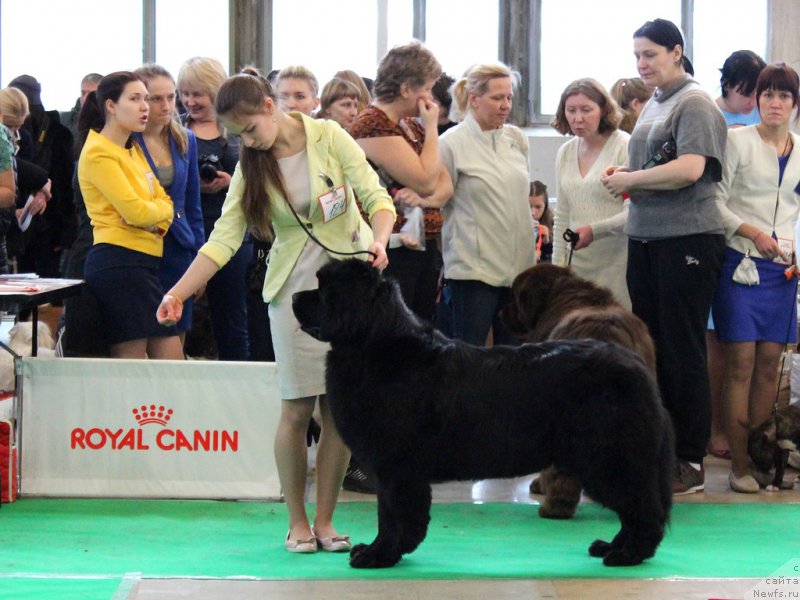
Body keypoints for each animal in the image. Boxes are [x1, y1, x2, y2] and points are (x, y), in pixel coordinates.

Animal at [290, 258, 672, 568]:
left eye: (324, 288)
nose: (293, 298)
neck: (374, 340)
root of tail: (635, 365)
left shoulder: (396, 467)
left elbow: (394, 515)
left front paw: (379, 554)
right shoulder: (392, 468)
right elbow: (391, 514)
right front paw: (381, 550)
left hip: (609, 459)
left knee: (642, 509)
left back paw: (627, 554)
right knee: (636, 508)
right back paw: (612, 547)